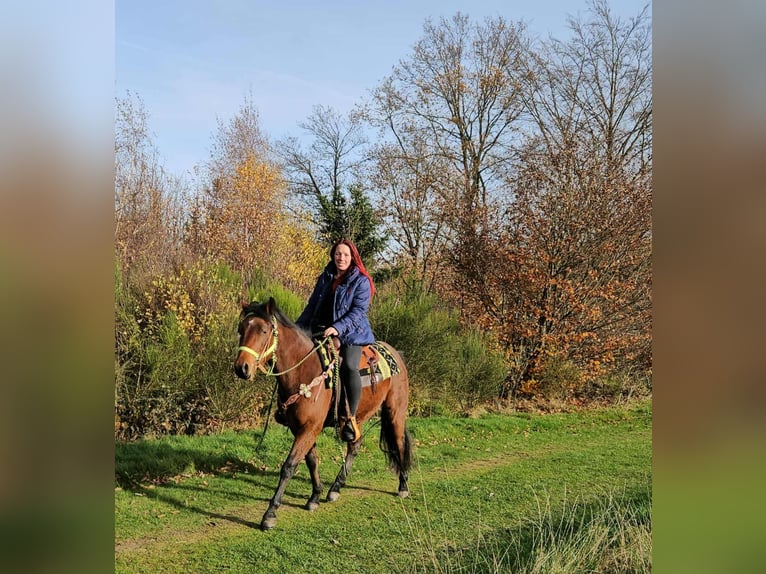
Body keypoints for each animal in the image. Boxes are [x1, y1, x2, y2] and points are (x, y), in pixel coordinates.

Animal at [233, 297, 413, 530]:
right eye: (241, 329)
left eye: (264, 331)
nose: (242, 368)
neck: (303, 371)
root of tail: (396, 354)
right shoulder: (302, 428)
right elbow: (312, 460)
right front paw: (315, 497)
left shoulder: (309, 428)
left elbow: (289, 466)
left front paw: (270, 513)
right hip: (358, 417)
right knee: (355, 444)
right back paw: (335, 488)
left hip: (395, 412)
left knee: (399, 444)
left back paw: (403, 485)